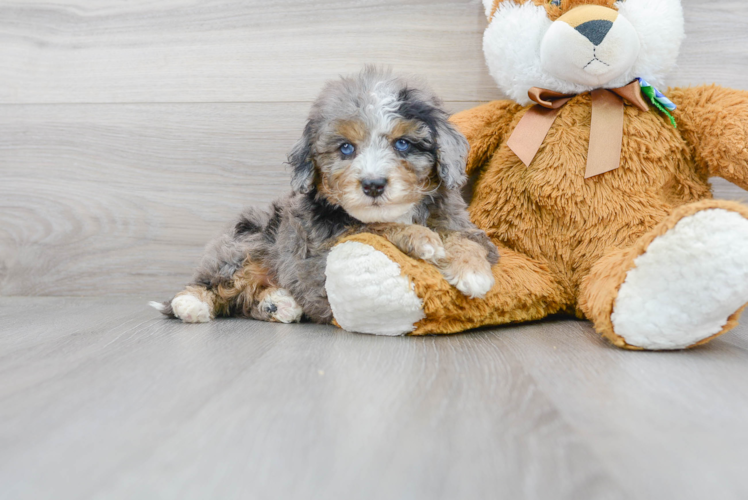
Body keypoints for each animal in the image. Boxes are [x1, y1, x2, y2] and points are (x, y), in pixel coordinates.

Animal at [151, 67, 496, 324]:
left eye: (403, 144)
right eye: (346, 148)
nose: (373, 185)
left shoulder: (458, 222)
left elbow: (468, 240)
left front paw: (473, 271)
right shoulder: (323, 244)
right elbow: (374, 226)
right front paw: (420, 238)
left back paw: (278, 304)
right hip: (247, 241)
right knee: (219, 283)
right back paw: (191, 303)